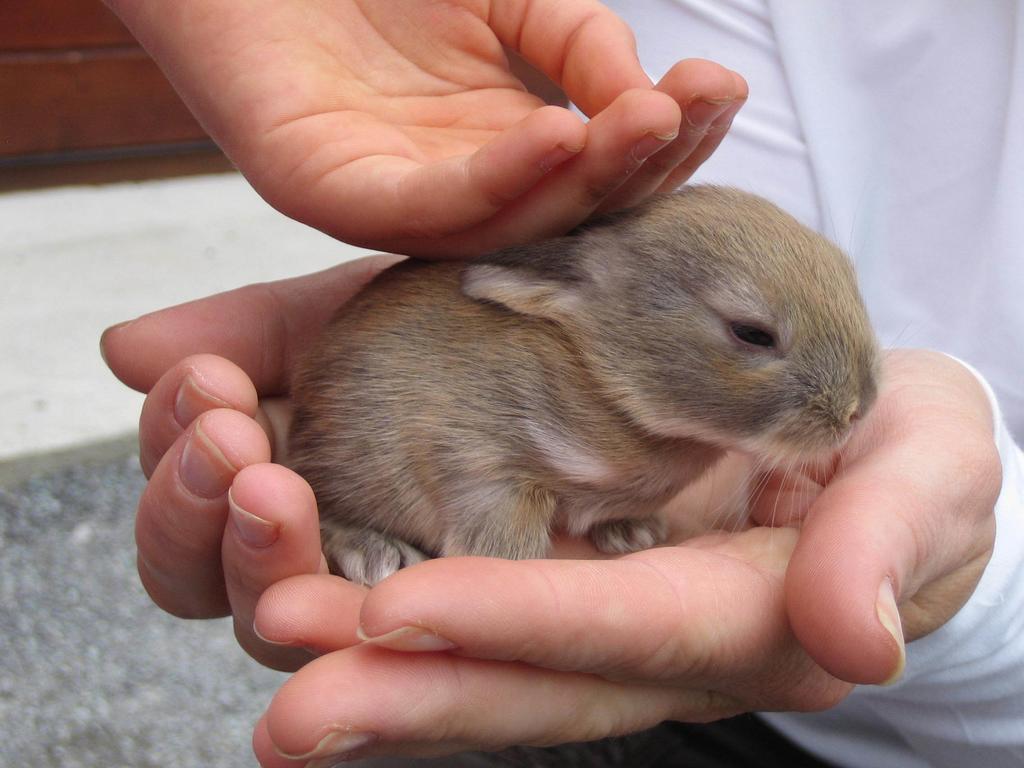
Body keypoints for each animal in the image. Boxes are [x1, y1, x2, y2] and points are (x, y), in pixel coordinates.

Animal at [288, 188, 880, 589]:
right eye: (751, 333)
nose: (859, 409)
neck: (603, 378)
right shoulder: (477, 452)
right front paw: (501, 559)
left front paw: (632, 532)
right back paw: (377, 552)